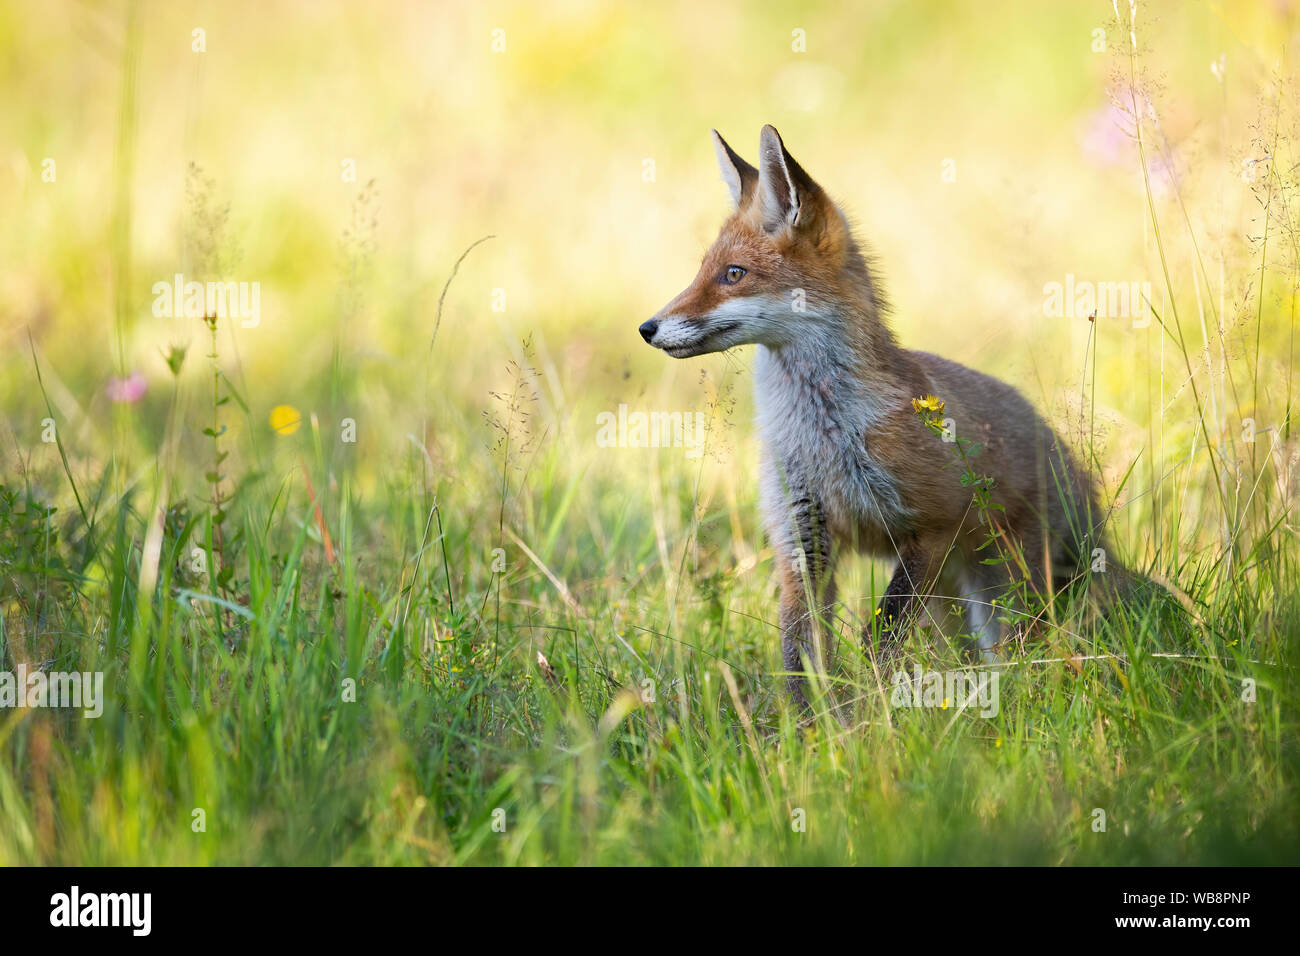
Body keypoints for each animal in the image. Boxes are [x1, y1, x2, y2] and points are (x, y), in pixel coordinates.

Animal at [639, 127, 1107, 707]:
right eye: (703, 271)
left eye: (733, 275)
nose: (647, 328)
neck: (820, 435)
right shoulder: (802, 537)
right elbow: (800, 650)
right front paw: (806, 727)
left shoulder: (932, 527)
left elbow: (880, 635)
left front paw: (872, 711)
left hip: (1002, 595)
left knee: (1020, 656)